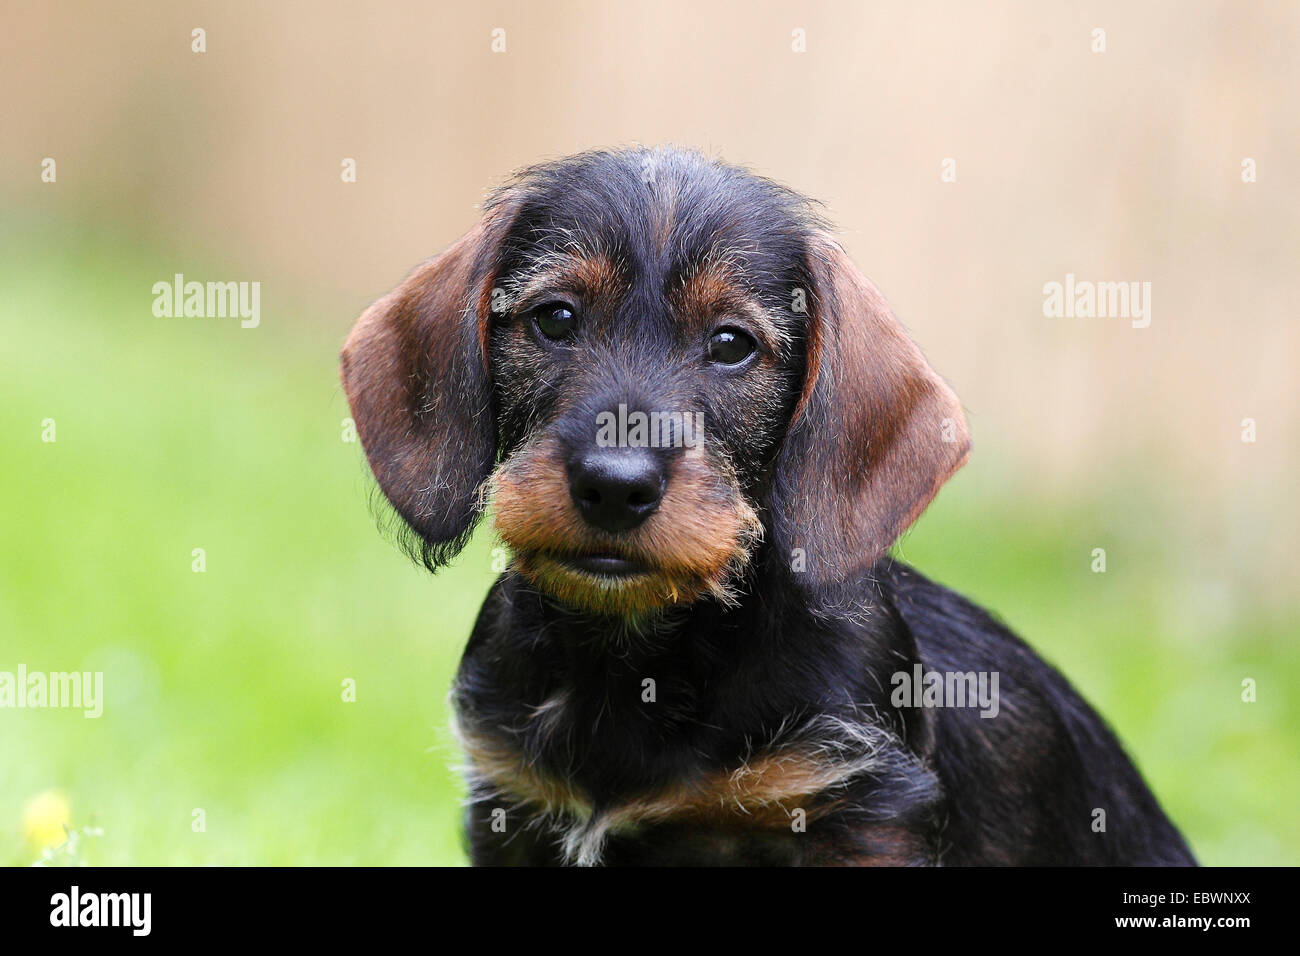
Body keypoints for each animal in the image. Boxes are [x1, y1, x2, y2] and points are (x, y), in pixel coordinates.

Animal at [340, 143, 1190, 868]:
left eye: (731, 344)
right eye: (555, 317)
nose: (614, 483)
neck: (643, 658)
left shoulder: (858, 811)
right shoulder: (512, 805)